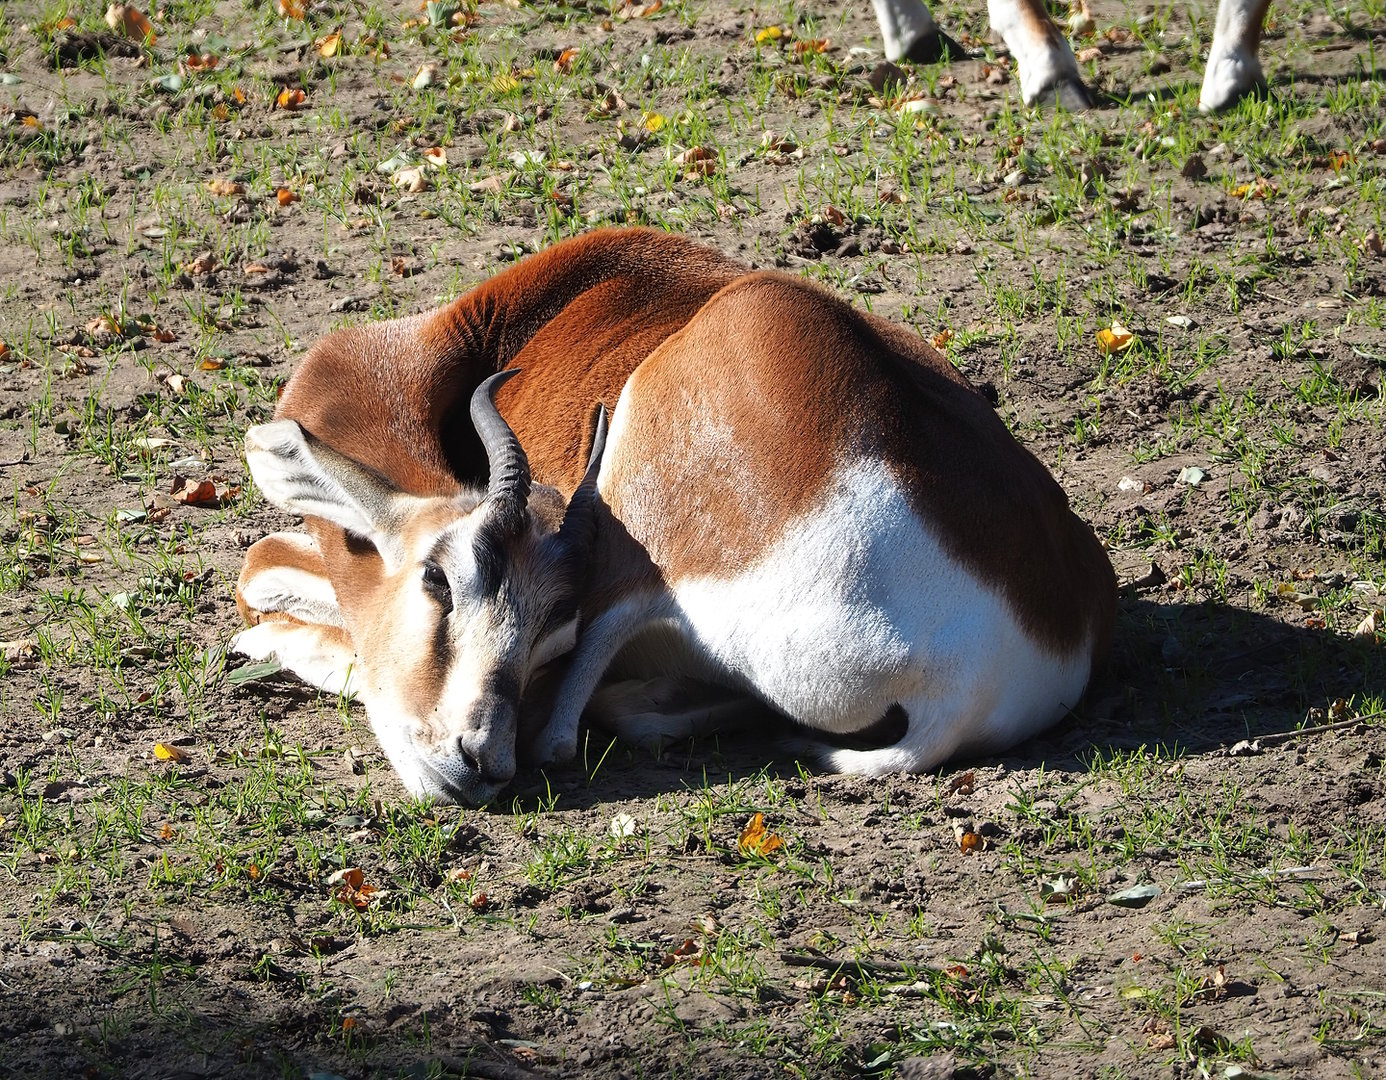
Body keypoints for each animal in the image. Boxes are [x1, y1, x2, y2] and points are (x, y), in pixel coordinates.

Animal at [233, 228, 1116, 806]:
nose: (478, 762)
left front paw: (269, 639)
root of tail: (978, 678)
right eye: (439, 582)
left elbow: (260, 568)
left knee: (566, 723)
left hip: (640, 535)